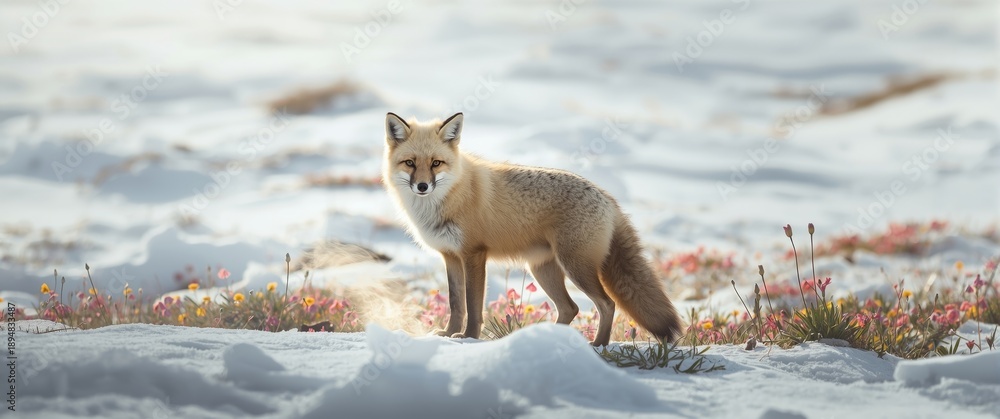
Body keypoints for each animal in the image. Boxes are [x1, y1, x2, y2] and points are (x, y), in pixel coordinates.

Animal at [382, 112, 682, 346]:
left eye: (436, 163)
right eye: (410, 163)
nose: (422, 186)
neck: (450, 196)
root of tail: (607, 196)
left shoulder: (474, 254)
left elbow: (473, 305)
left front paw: (468, 337)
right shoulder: (451, 256)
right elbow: (456, 303)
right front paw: (448, 334)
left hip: (575, 267)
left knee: (607, 304)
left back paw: (598, 344)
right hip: (543, 270)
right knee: (571, 308)